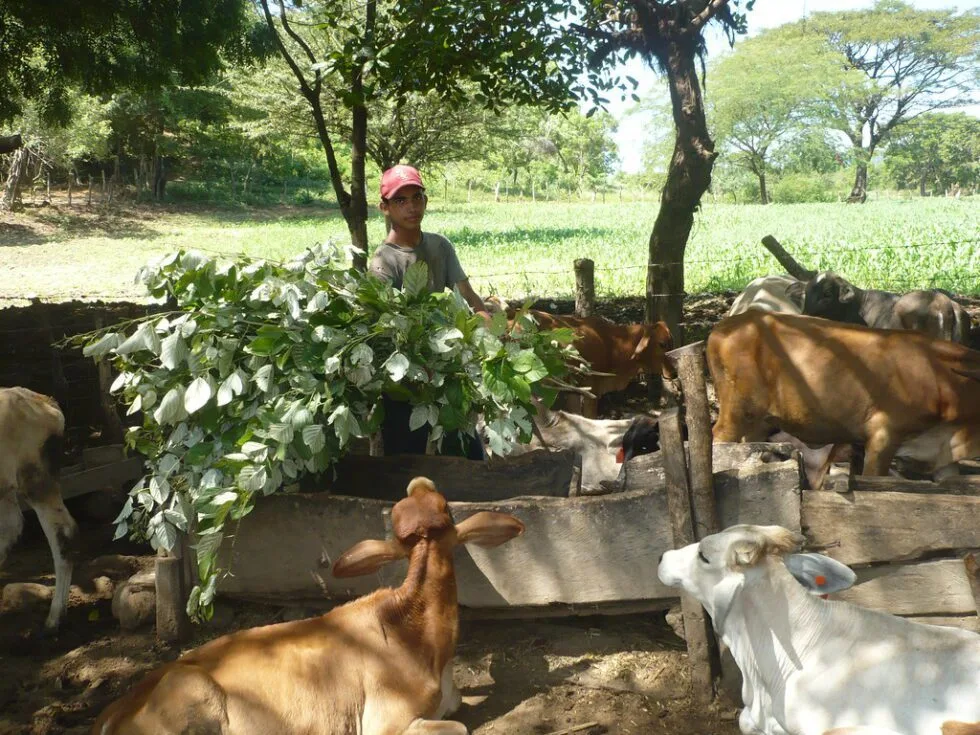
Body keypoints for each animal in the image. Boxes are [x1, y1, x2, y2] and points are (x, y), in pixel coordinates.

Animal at [520, 310, 672, 416]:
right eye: (662, 344)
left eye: (670, 342)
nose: (673, 373)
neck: (613, 343)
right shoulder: (592, 388)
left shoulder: (574, 390)